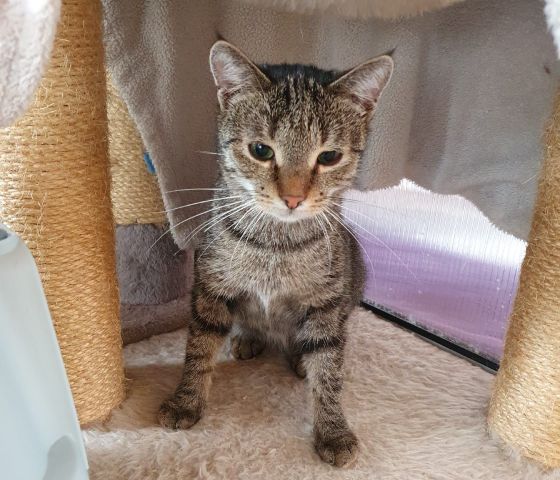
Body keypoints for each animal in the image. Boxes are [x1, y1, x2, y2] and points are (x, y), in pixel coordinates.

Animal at [159, 40, 393, 468]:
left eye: (329, 157)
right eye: (260, 150)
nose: (293, 197)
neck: (276, 246)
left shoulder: (326, 303)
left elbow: (328, 370)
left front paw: (333, 430)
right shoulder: (210, 287)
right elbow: (198, 348)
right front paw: (186, 401)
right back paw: (247, 337)